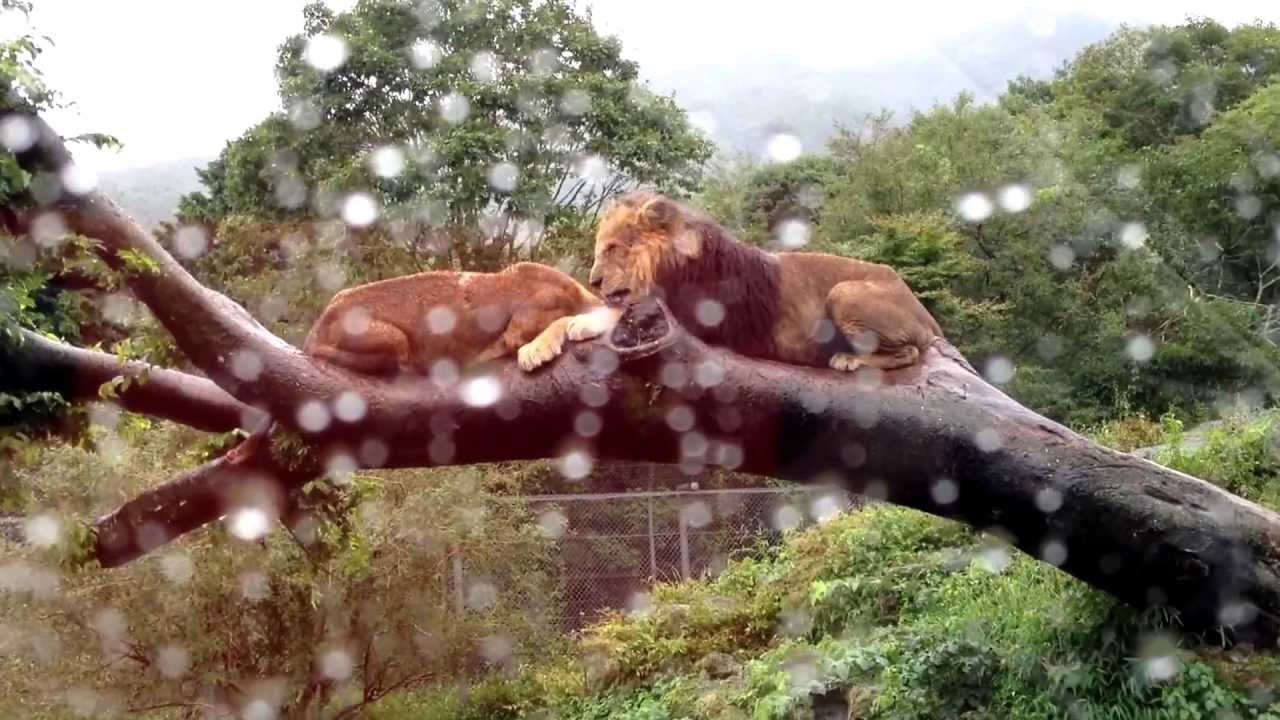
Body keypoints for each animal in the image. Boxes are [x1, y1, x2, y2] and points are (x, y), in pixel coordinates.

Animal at [588, 192, 942, 372]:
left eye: (613, 248)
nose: (593, 281)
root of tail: (926, 314)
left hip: (845, 293)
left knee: (910, 352)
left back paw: (848, 359)